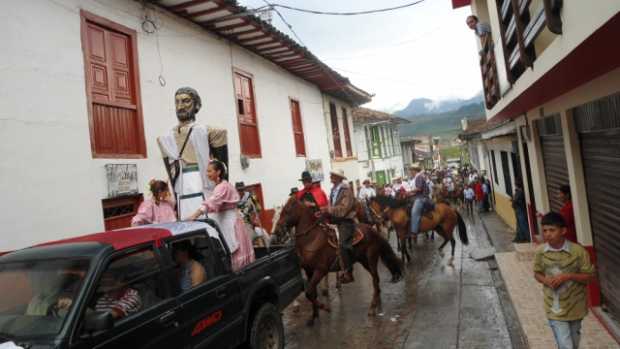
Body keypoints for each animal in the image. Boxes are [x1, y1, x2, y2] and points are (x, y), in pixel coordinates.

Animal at [274, 196, 404, 324]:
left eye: (287, 210)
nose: (277, 231)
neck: (312, 239)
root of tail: (373, 231)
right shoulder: (309, 271)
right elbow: (312, 293)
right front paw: (314, 316)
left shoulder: (320, 270)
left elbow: (309, 292)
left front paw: (325, 307)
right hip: (363, 261)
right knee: (375, 280)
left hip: (371, 259)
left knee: (375, 280)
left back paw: (372, 307)